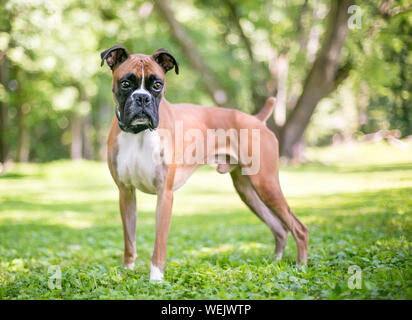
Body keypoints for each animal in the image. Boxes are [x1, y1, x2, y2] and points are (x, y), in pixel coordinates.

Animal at [101, 44, 308, 280]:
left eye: (157, 85)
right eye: (125, 84)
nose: (142, 98)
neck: (139, 133)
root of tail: (255, 119)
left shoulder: (165, 194)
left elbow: (159, 244)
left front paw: (156, 279)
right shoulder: (126, 193)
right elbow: (129, 240)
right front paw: (126, 273)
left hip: (266, 185)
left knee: (299, 228)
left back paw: (301, 267)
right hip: (248, 191)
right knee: (280, 228)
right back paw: (275, 264)